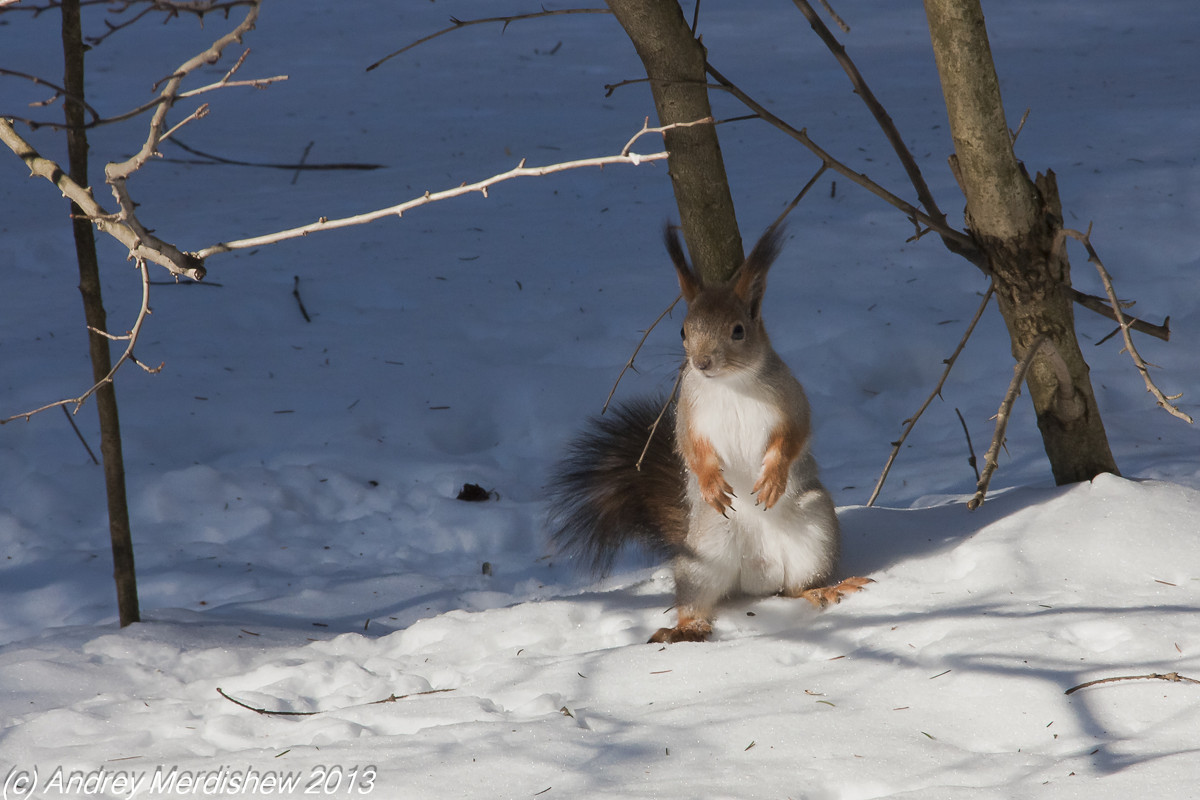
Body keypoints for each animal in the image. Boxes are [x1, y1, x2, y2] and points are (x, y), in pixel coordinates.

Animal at [547, 224, 873, 642]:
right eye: (683, 330)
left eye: (738, 331)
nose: (701, 362)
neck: (730, 384)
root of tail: (756, 575)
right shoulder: (689, 413)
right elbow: (691, 447)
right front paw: (710, 482)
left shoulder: (790, 401)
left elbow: (792, 436)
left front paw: (772, 477)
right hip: (701, 555)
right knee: (696, 601)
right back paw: (686, 627)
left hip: (815, 532)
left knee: (796, 587)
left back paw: (825, 589)